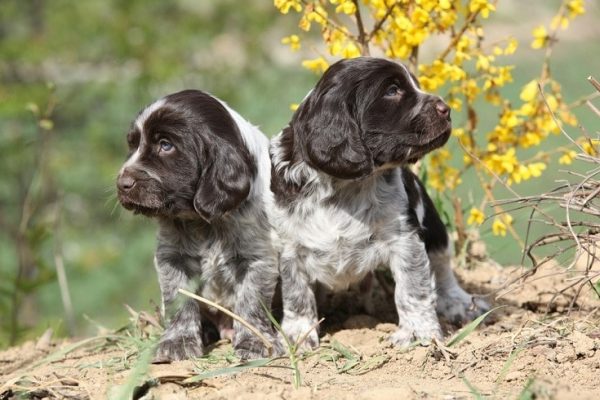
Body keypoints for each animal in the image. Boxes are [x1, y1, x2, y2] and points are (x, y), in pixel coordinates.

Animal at [116, 90, 282, 362]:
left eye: (165, 145)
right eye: (132, 145)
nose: (122, 184)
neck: (201, 220)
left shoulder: (258, 256)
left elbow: (251, 301)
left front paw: (255, 342)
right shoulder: (172, 258)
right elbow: (179, 298)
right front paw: (178, 342)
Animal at [270, 57, 490, 348]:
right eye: (392, 90)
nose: (446, 109)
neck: (345, 188)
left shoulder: (404, 238)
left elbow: (412, 288)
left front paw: (418, 333)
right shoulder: (290, 245)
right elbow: (296, 294)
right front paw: (297, 336)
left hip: (434, 226)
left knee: (442, 267)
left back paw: (462, 304)